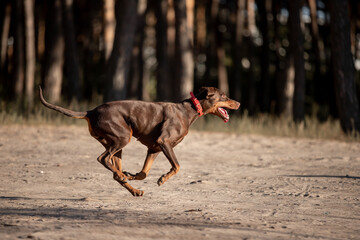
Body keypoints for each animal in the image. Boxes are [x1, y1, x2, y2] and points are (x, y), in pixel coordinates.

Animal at [40, 87, 239, 196]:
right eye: (224, 96)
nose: (238, 103)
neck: (189, 110)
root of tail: (90, 111)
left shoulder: (154, 148)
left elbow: (143, 173)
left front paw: (132, 175)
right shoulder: (164, 141)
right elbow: (177, 166)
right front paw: (162, 179)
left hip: (115, 143)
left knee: (114, 171)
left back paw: (132, 187)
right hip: (122, 137)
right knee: (103, 159)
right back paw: (123, 177)